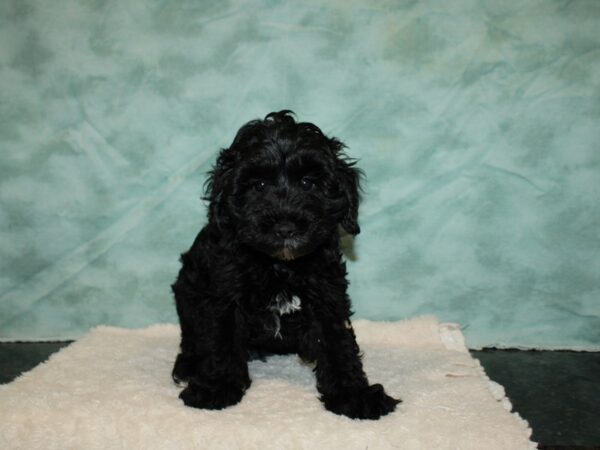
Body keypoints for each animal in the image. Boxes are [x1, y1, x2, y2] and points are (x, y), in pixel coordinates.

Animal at [171, 110, 400, 420]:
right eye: (258, 185)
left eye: (308, 183)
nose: (285, 227)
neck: (279, 265)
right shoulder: (224, 291)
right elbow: (220, 338)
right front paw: (215, 387)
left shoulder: (327, 292)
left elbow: (338, 342)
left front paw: (353, 394)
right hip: (188, 288)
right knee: (192, 334)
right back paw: (189, 364)